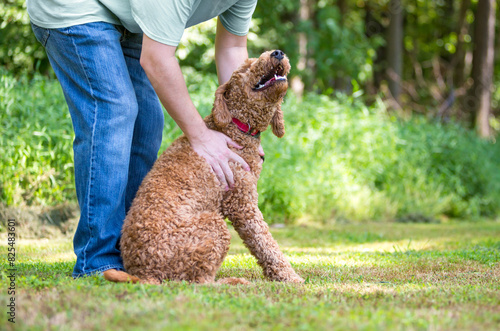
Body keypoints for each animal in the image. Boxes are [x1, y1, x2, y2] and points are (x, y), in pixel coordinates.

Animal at [104, 49, 302, 286]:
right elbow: (265, 244)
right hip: (213, 225)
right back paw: (231, 282)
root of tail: (143, 273)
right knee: (201, 281)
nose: (277, 53)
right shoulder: (242, 204)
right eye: (247, 67)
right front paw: (289, 276)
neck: (236, 127)